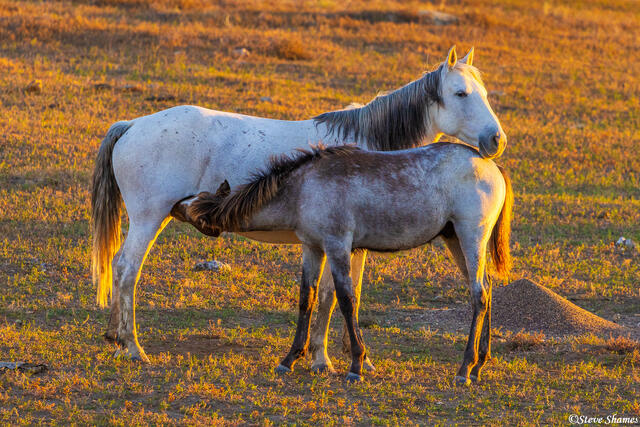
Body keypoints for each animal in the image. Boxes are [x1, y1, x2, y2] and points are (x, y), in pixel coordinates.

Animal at [183, 142, 513, 384]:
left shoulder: (338, 246)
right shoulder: (313, 248)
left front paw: (356, 364)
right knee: (486, 289)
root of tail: (490, 165)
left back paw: (464, 368)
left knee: (479, 295)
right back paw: (480, 364)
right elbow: (307, 298)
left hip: (471, 237)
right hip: (455, 240)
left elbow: (345, 299)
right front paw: (290, 358)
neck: (303, 188)